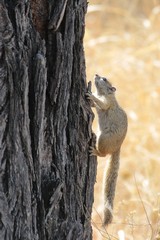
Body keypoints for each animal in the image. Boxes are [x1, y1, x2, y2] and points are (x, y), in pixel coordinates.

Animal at [86, 74, 127, 226]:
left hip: (103, 139)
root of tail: (117, 147)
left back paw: (95, 151)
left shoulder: (108, 103)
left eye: (104, 79)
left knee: (103, 155)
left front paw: (90, 94)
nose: (96, 75)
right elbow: (94, 105)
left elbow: (102, 104)